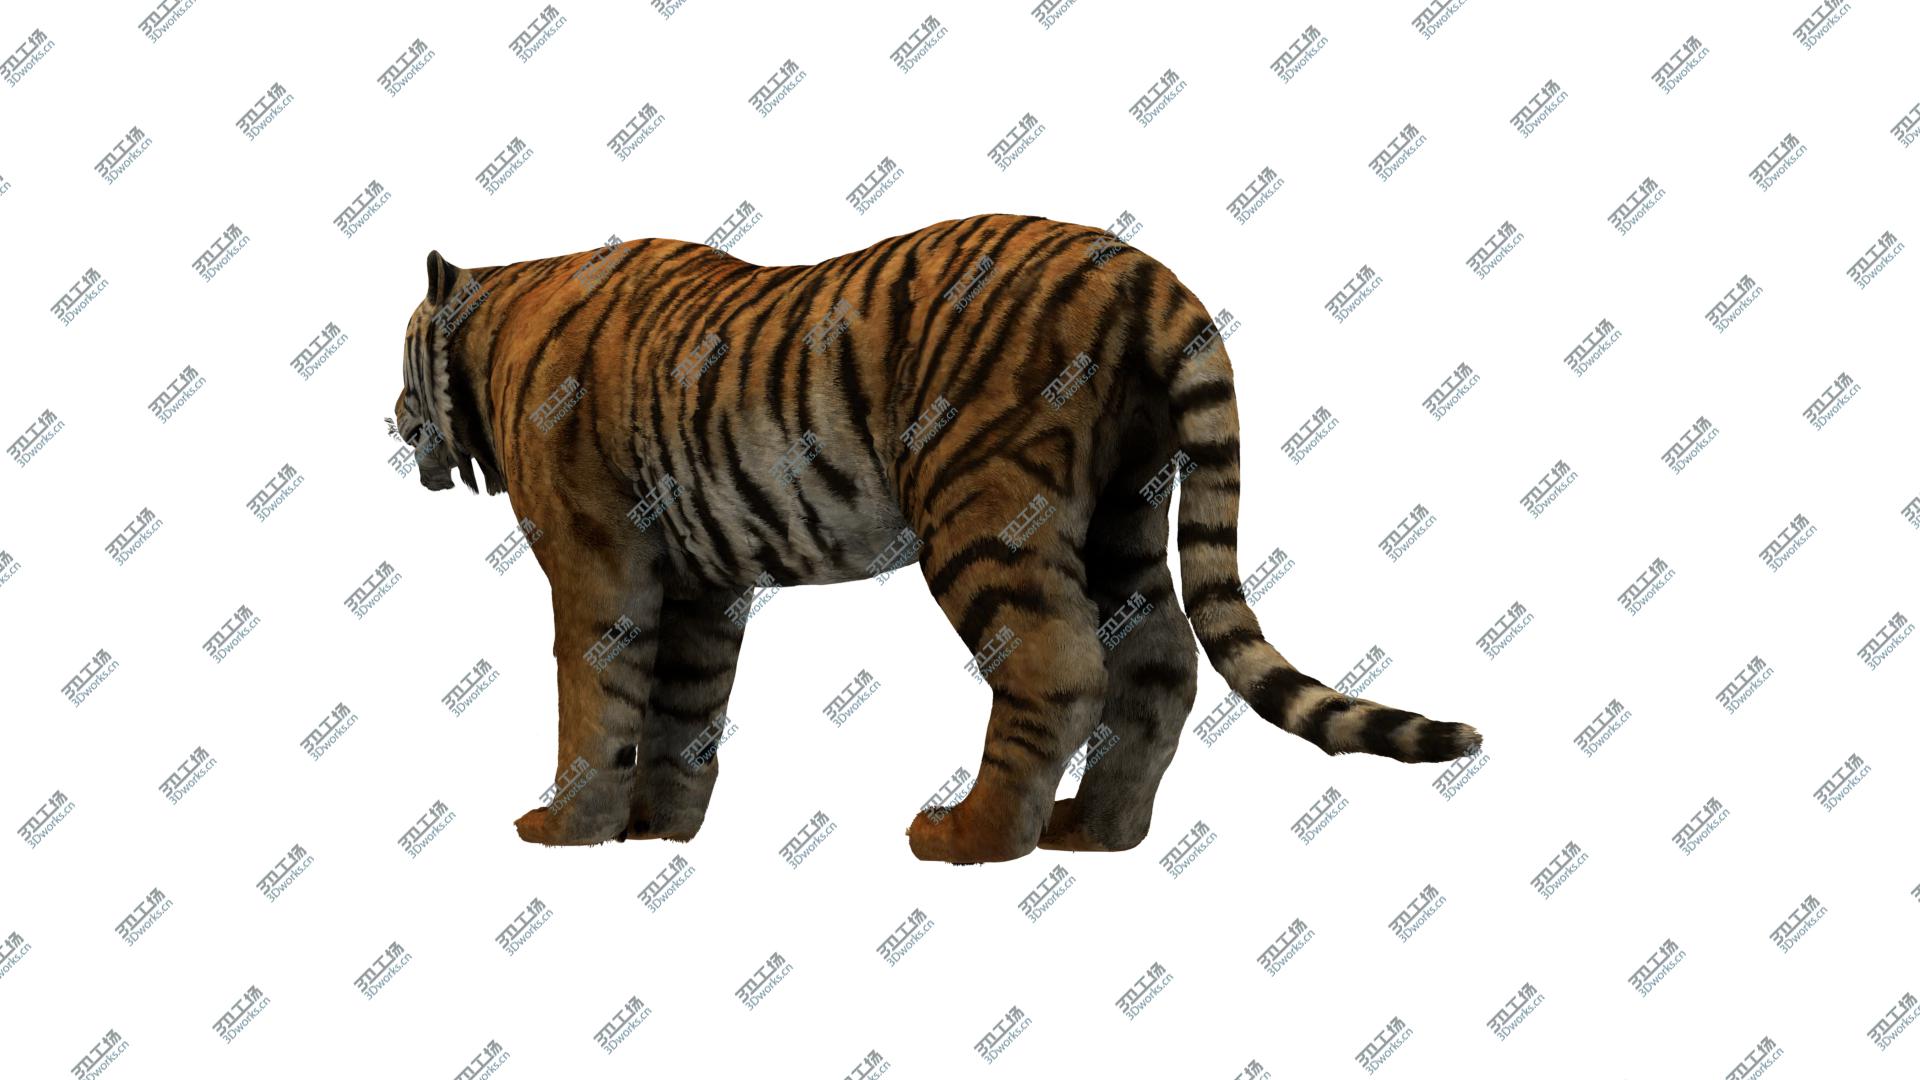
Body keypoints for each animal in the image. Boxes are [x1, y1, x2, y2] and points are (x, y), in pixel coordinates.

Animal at [391, 213, 1482, 865]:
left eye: (403, 359)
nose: (395, 421)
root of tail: (1138, 269)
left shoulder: (598, 559)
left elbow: (596, 694)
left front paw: (563, 831)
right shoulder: (703, 581)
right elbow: (684, 706)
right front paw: (661, 830)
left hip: (982, 506)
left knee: (1057, 664)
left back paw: (973, 836)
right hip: (1121, 514)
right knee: (1161, 659)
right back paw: (1096, 830)